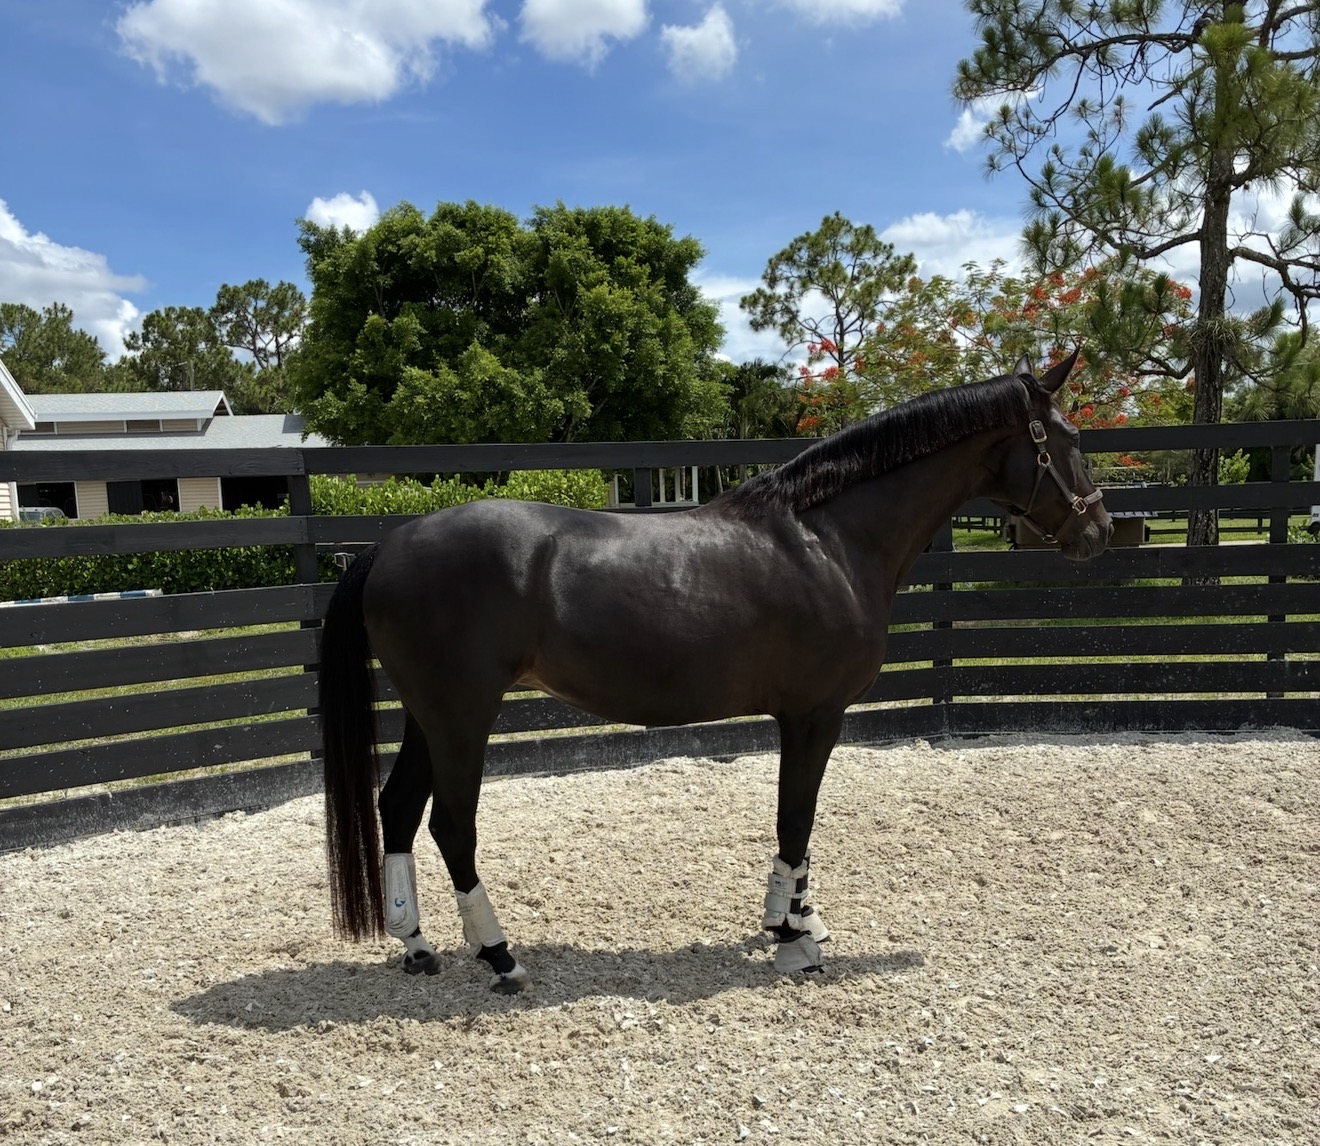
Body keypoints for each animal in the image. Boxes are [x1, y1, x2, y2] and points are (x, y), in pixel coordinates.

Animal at [319, 351, 1112, 992]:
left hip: (430, 717)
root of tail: (388, 546)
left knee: (398, 808)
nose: (1098, 531)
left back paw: (418, 946)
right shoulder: (814, 715)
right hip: (463, 717)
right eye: (1069, 438)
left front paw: (798, 920)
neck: (827, 539)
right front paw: (793, 940)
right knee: (453, 826)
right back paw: (500, 956)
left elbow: (800, 824)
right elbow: (796, 817)